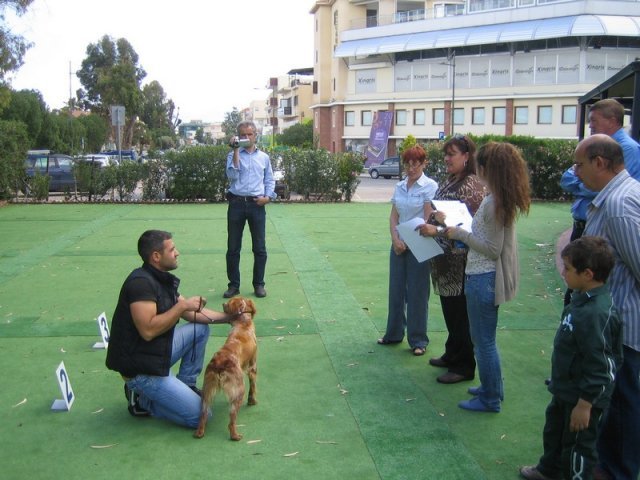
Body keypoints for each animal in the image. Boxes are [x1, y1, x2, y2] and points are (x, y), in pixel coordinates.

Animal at [194, 294, 256, 440]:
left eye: (228, 303)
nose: (223, 304)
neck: (243, 323)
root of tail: (219, 364)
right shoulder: (252, 367)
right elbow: (253, 387)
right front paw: (252, 401)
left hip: (207, 391)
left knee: (203, 415)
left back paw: (199, 432)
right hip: (239, 390)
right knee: (231, 419)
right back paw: (235, 435)